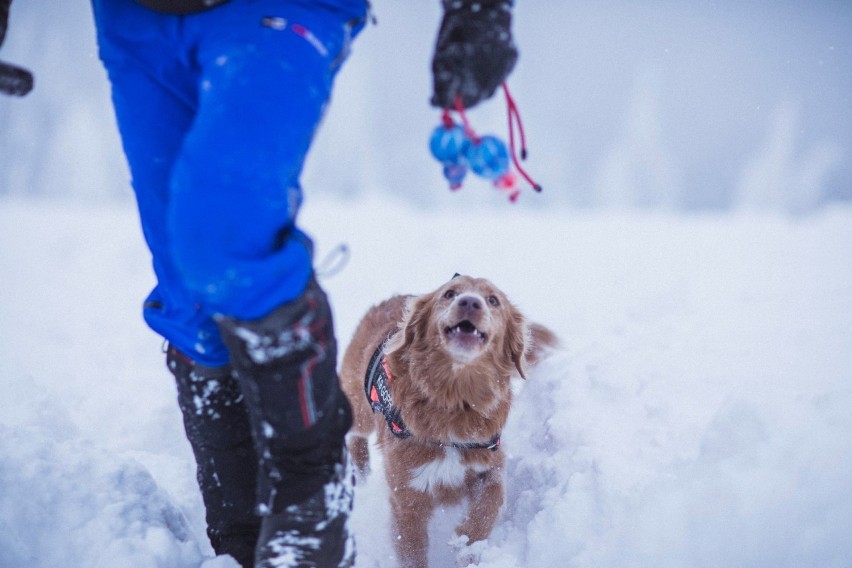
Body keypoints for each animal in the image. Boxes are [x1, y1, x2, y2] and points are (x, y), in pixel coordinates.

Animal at [340, 274, 560, 564]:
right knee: (354, 433)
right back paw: (360, 471)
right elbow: (412, 551)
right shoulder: (407, 496)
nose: (470, 302)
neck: (456, 401)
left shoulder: (489, 463)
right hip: (360, 407)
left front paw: (466, 544)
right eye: (449, 294)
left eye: (493, 300)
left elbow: (489, 505)